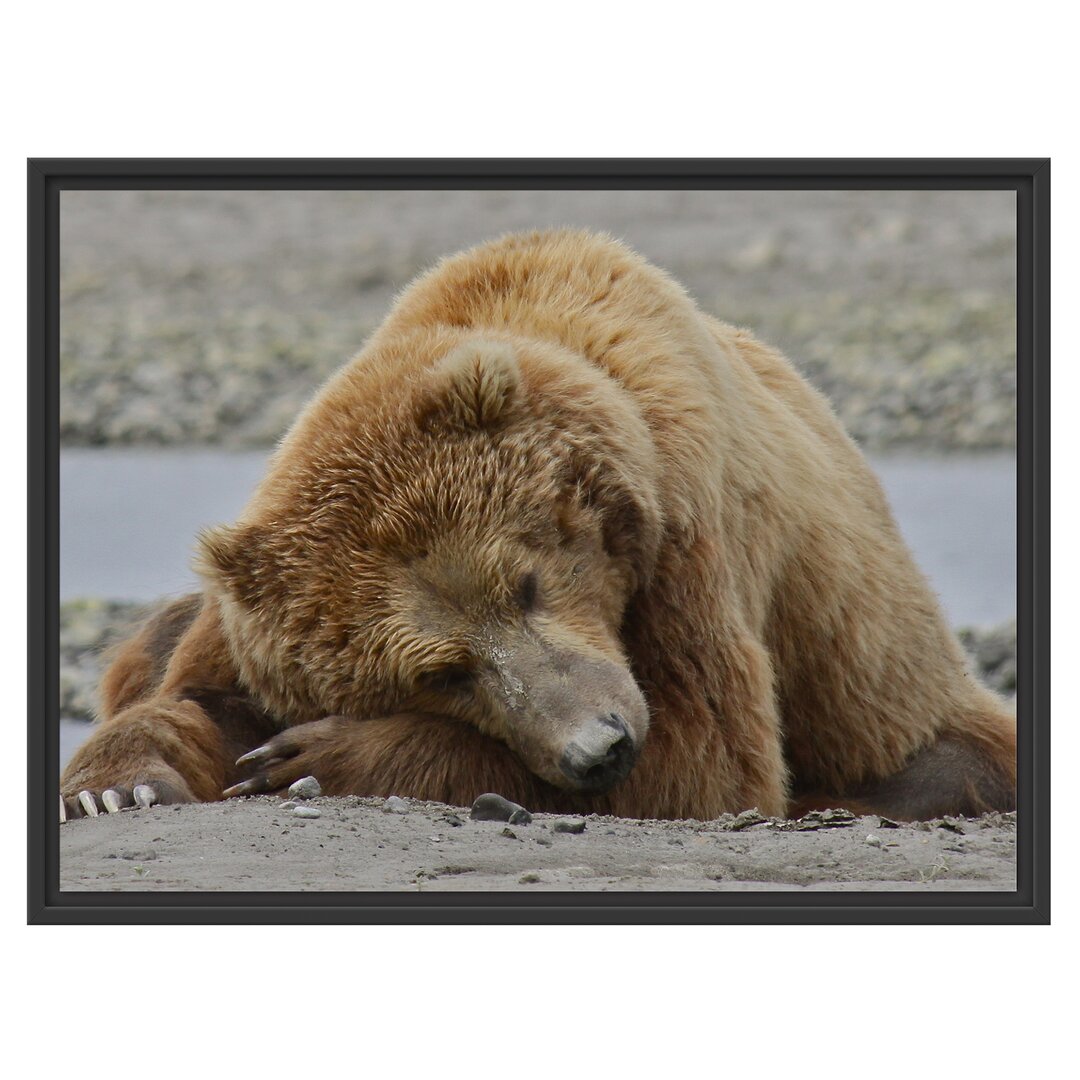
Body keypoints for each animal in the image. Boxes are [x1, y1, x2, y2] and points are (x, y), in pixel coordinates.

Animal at [63, 225, 1015, 816]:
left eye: (525, 583)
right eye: (442, 671)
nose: (600, 747)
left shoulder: (687, 535)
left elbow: (706, 758)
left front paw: (308, 759)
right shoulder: (252, 606)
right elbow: (194, 694)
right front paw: (117, 785)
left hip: (892, 685)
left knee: (943, 764)